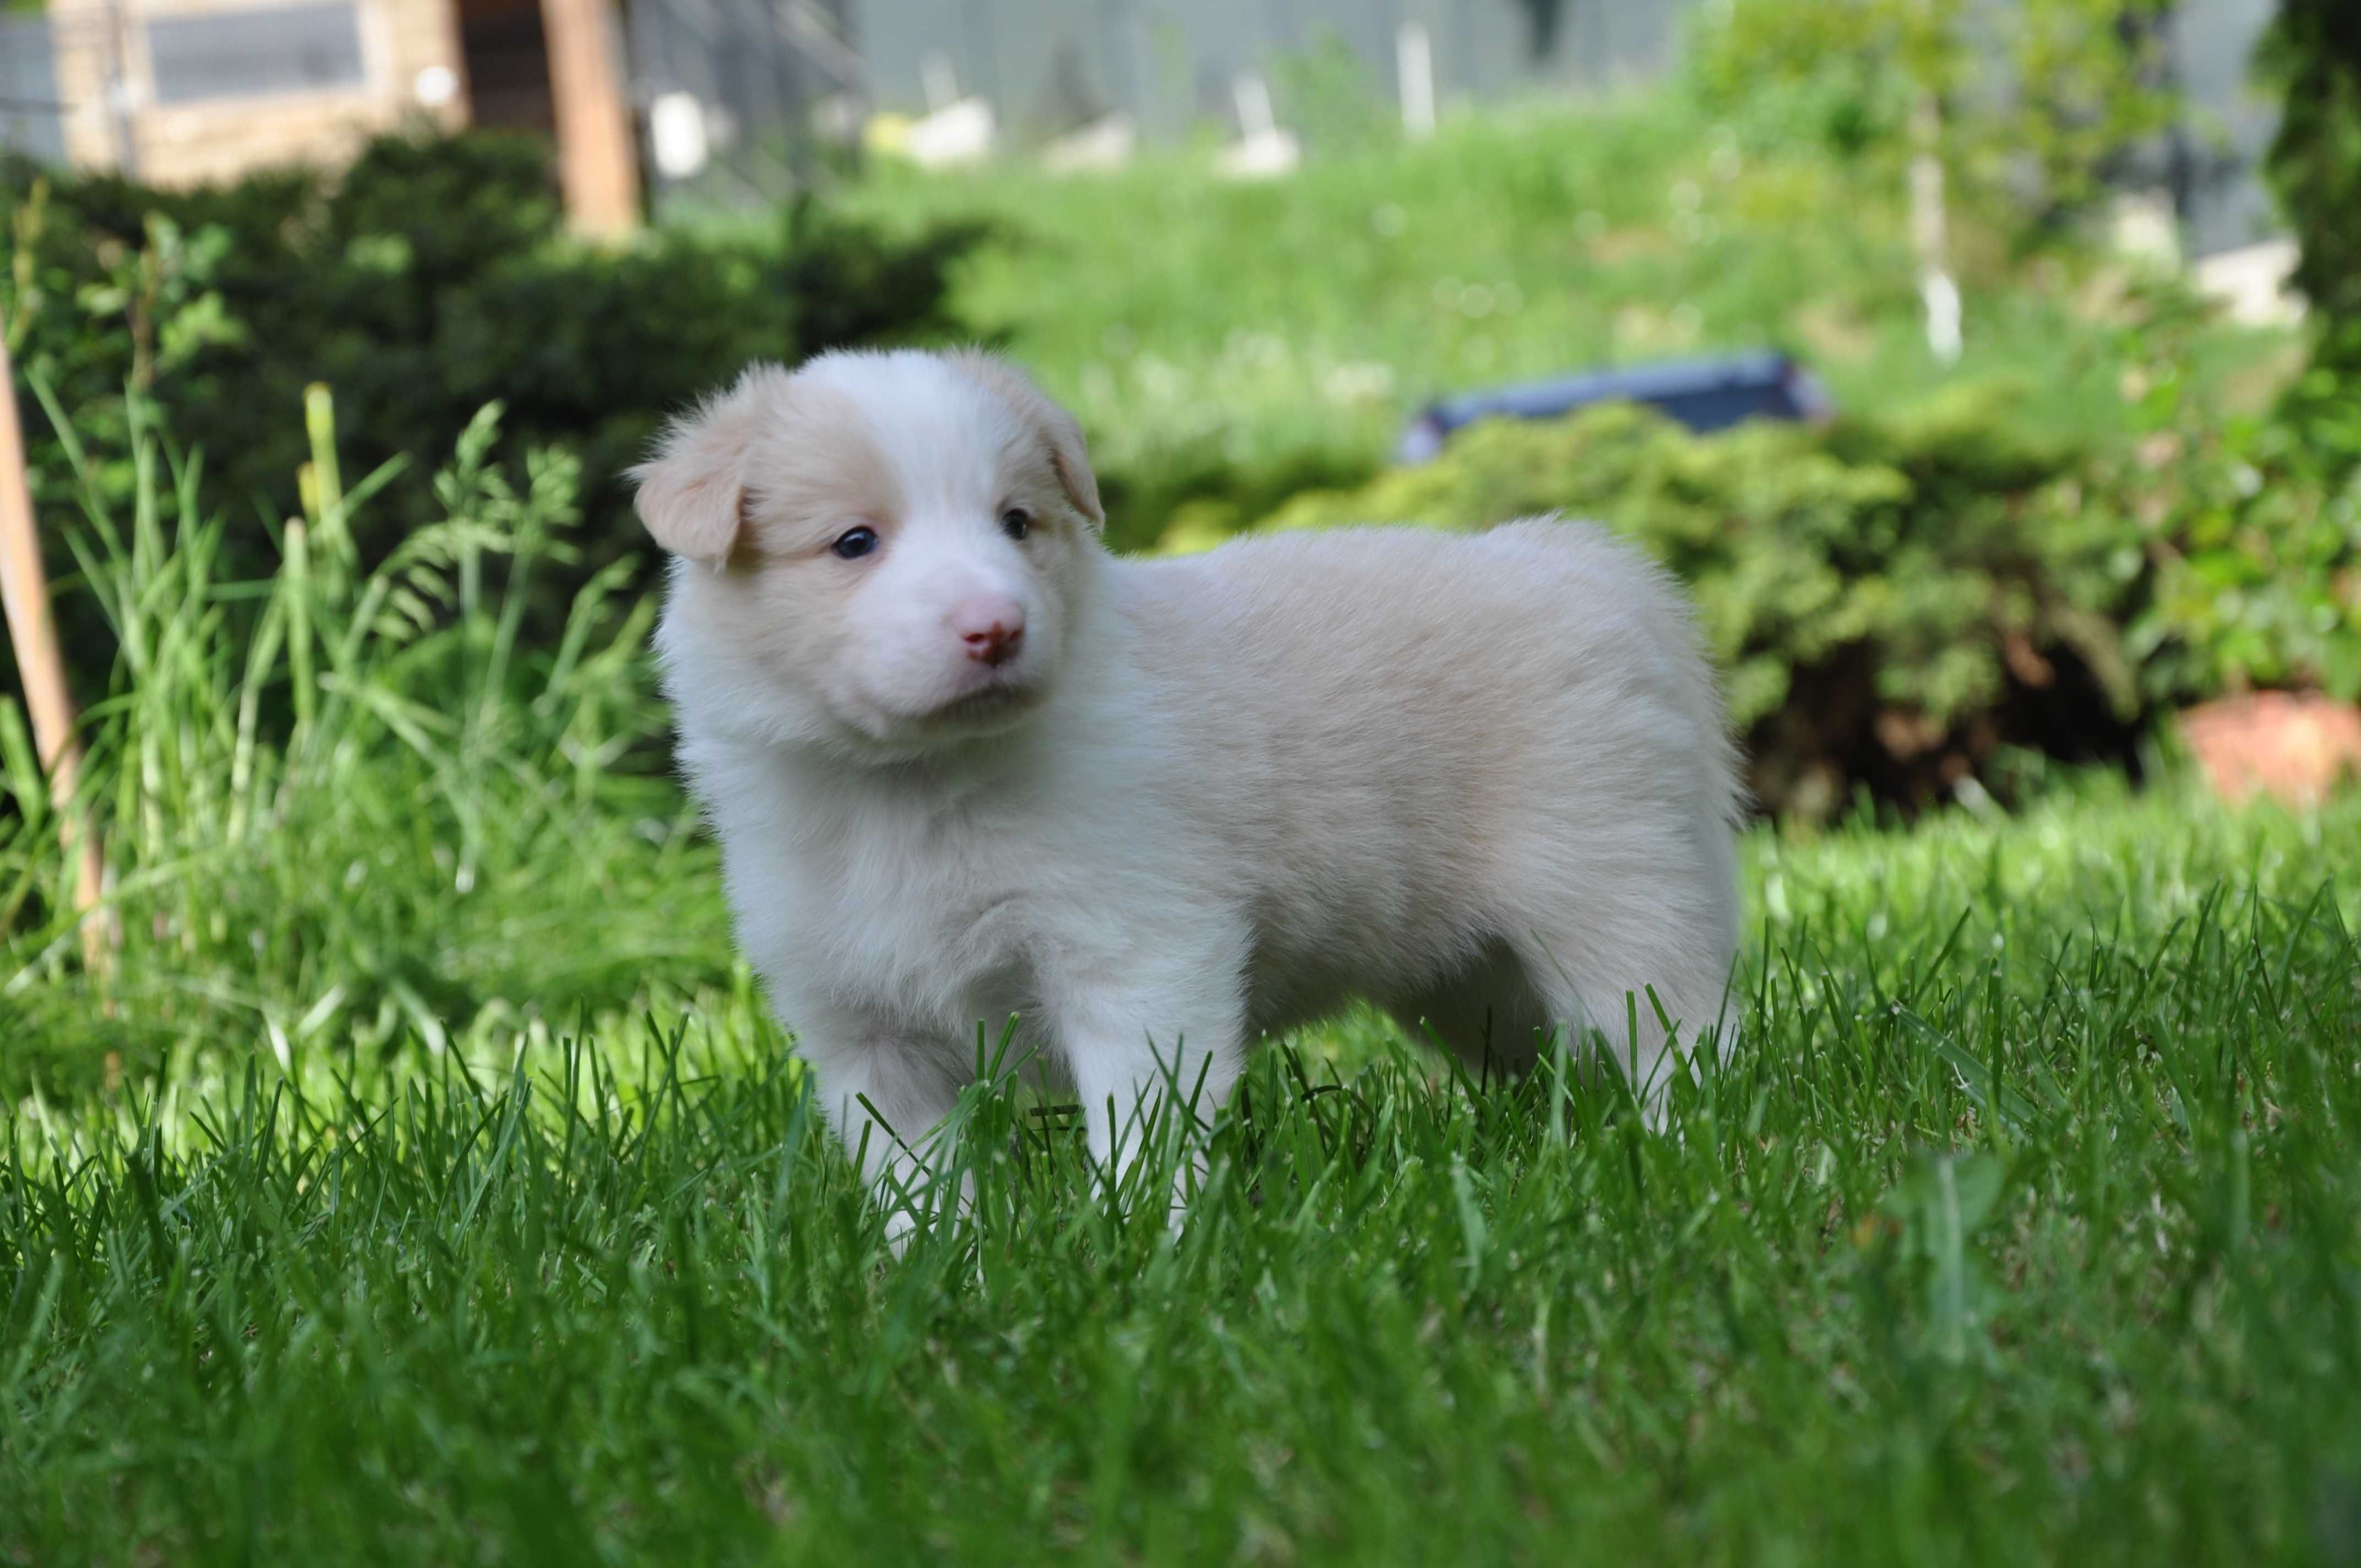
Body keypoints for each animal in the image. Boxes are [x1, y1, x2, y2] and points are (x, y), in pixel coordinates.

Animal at [637, 349, 1747, 1218]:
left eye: (1017, 523)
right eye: (854, 542)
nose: (996, 628)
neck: (912, 786)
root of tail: (1592, 568)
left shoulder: (1134, 955)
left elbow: (1139, 1122)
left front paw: (1136, 1250)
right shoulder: (860, 1026)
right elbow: (913, 1177)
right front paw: (938, 1274)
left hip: (1613, 886)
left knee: (1682, 1032)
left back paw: (1694, 1153)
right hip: (1471, 977)